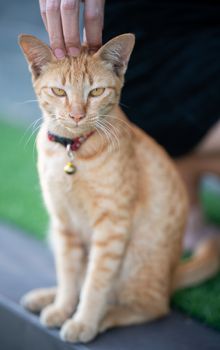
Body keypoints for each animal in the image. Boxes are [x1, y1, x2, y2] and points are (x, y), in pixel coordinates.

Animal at [19, 34, 220, 344]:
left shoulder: (111, 226)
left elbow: (95, 283)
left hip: (136, 261)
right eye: (59, 91)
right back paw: (47, 299)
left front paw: (84, 322)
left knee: (151, 306)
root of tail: (172, 275)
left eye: (96, 92)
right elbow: (68, 273)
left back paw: (102, 317)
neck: (72, 150)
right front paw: (62, 307)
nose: (76, 115)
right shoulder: (63, 223)